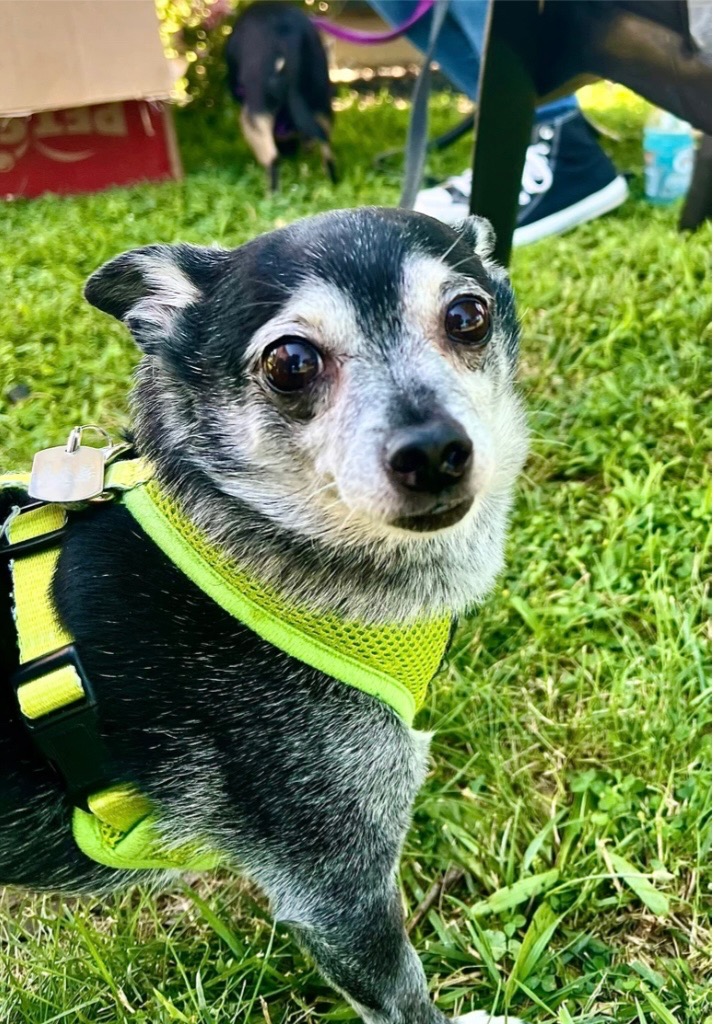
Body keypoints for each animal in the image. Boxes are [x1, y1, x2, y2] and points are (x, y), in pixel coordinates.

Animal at [226, 1, 336, 190]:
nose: (292, 153)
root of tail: (287, 33)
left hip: (255, 109)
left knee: (272, 158)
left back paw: (272, 194)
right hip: (321, 100)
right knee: (327, 147)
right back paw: (333, 183)